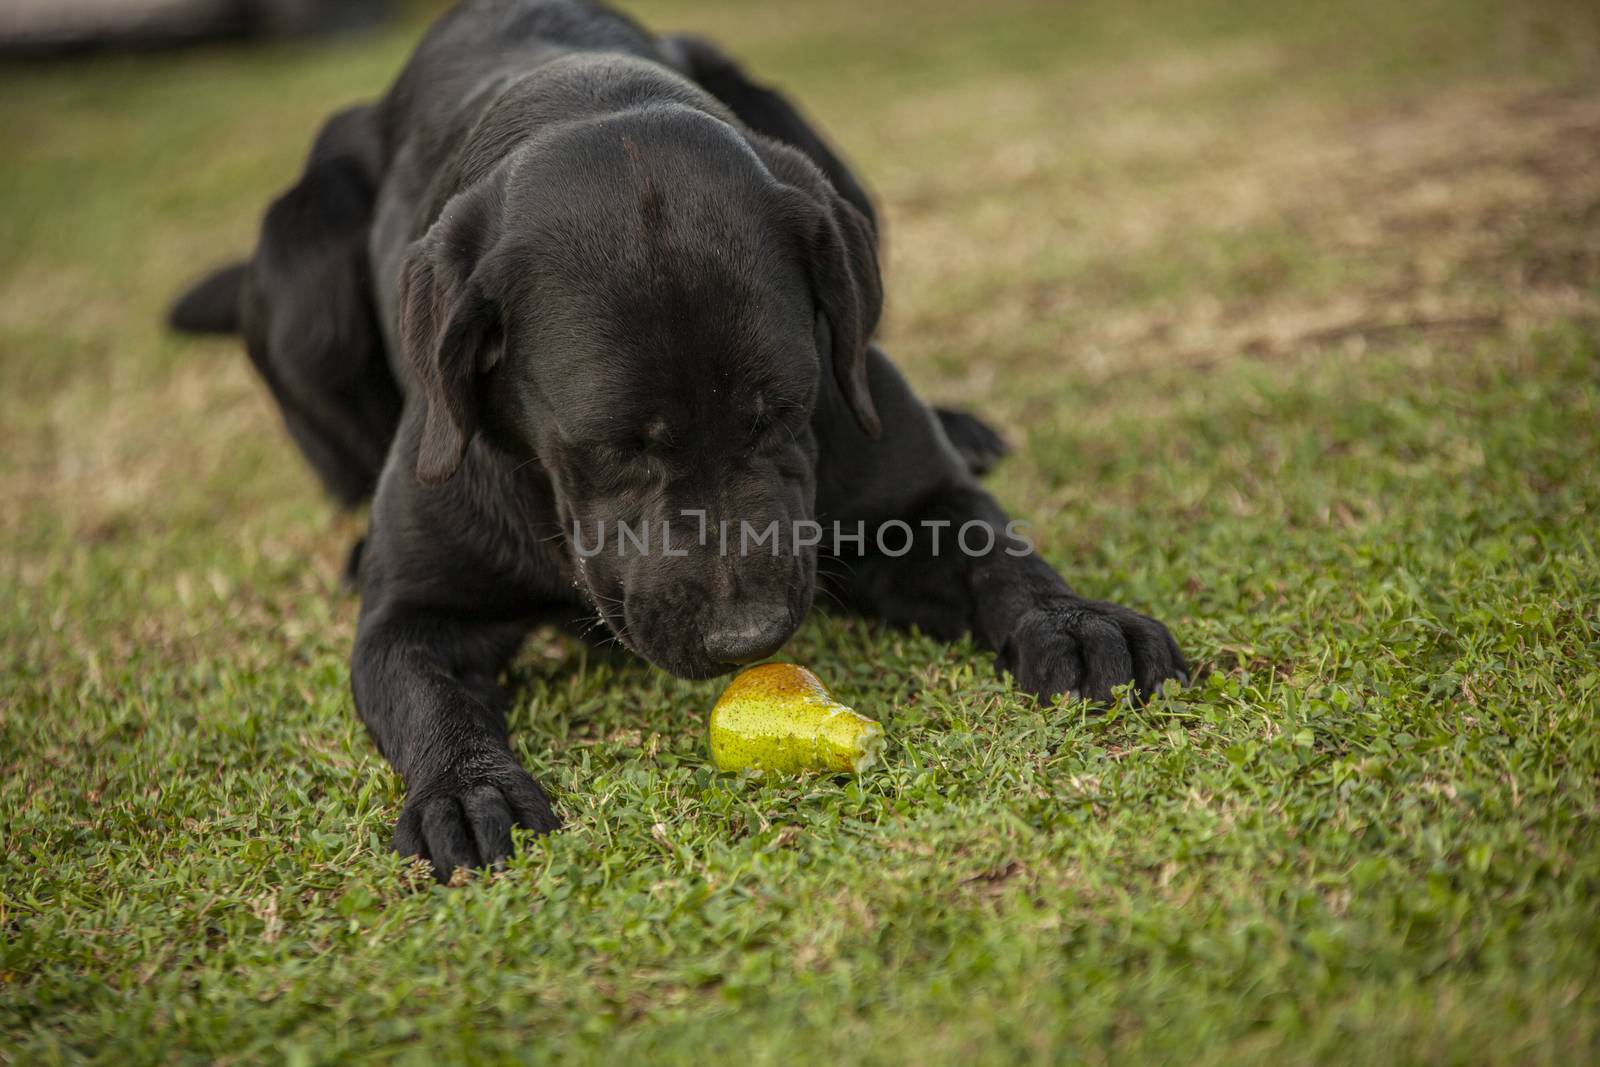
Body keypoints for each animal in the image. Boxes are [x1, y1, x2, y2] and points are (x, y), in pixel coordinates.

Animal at [172, 0, 1190, 883]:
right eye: (617, 447)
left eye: (779, 410)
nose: (750, 635)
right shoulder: (412, 611)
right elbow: (428, 697)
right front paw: (465, 787)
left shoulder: (909, 495)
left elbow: (997, 552)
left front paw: (1073, 619)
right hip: (301, 271)